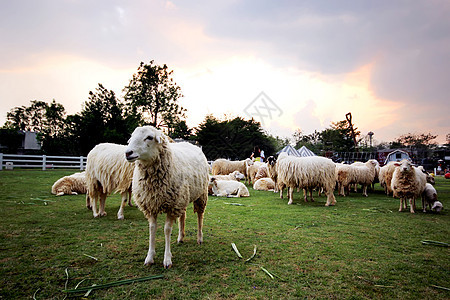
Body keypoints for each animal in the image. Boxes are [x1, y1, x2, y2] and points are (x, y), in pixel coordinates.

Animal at [123, 125, 207, 268]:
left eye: (149, 137)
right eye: (132, 136)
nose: (128, 153)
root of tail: (191, 144)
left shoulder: (172, 206)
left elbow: (167, 230)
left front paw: (167, 259)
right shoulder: (151, 205)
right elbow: (152, 229)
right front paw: (149, 257)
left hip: (201, 194)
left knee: (200, 216)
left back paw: (199, 238)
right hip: (183, 197)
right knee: (183, 215)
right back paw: (180, 237)